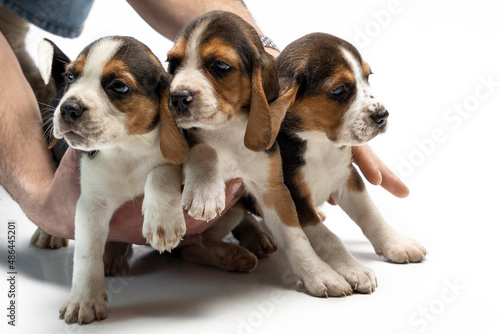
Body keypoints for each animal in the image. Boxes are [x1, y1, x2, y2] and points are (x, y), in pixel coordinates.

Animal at [38, 36, 188, 324]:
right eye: (72, 76)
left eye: (118, 86)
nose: (68, 108)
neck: (125, 150)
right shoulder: (90, 205)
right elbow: (87, 254)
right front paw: (84, 299)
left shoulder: (169, 159)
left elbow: (159, 172)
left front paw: (162, 223)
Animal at [166, 11, 354, 298]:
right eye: (172, 63)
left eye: (220, 66)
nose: (177, 97)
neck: (230, 130)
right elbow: (206, 149)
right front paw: (205, 193)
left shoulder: (273, 191)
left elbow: (296, 237)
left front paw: (319, 274)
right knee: (190, 248)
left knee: (195, 246)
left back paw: (235, 253)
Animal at [276, 32, 428, 274]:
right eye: (338, 91)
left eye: (368, 76)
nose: (382, 116)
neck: (320, 143)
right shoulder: (295, 199)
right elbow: (328, 238)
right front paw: (353, 270)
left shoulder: (348, 177)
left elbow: (370, 214)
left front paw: (396, 243)